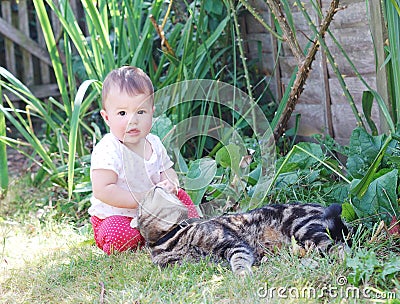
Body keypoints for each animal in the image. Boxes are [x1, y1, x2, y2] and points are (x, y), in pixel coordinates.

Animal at [137, 188, 346, 276]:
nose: (162, 184)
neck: (171, 239)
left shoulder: (233, 244)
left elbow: (238, 260)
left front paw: (242, 275)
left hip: (303, 228)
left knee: (340, 248)